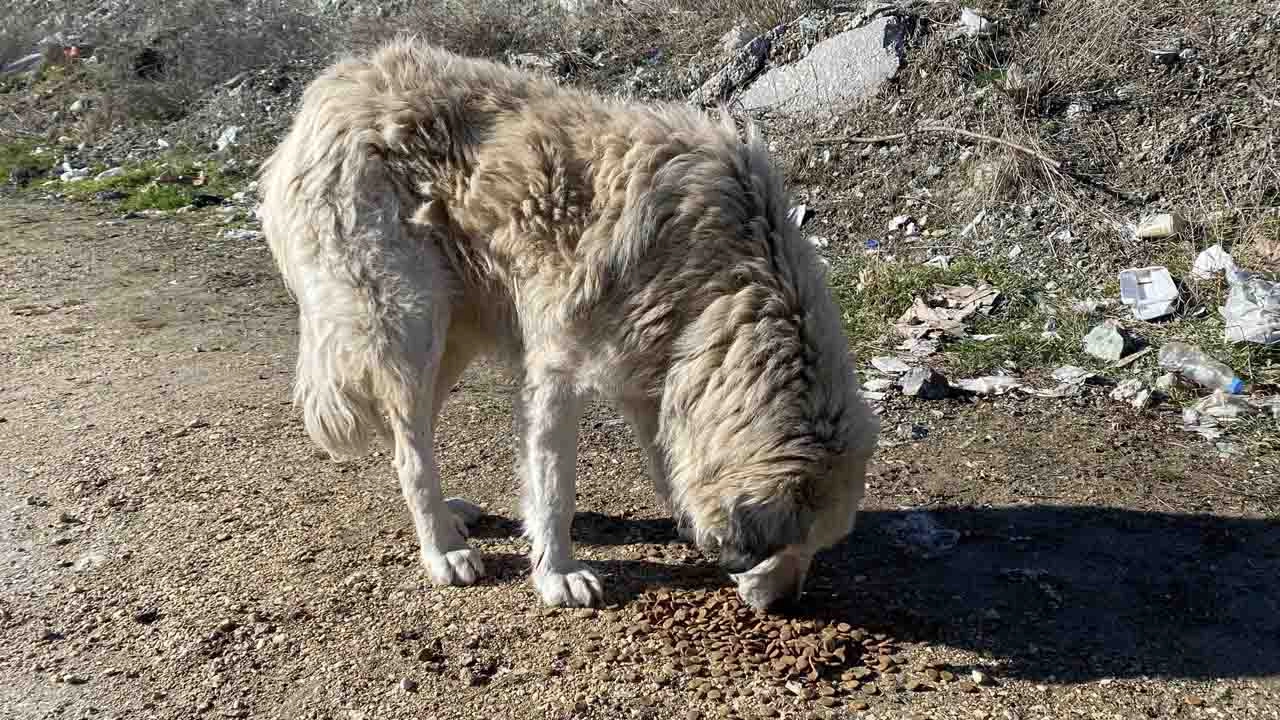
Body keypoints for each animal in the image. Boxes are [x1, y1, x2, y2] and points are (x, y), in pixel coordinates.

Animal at [257, 37, 880, 604]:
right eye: (785, 545)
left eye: (819, 547)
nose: (786, 604)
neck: (725, 280)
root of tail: (330, 87)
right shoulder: (557, 373)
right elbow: (554, 486)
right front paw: (557, 574)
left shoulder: (653, 375)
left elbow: (666, 461)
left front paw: (682, 519)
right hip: (408, 323)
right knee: (411, 449)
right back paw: (442, 550)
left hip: (449, 335)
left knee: (410, 432)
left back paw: (448, 515)